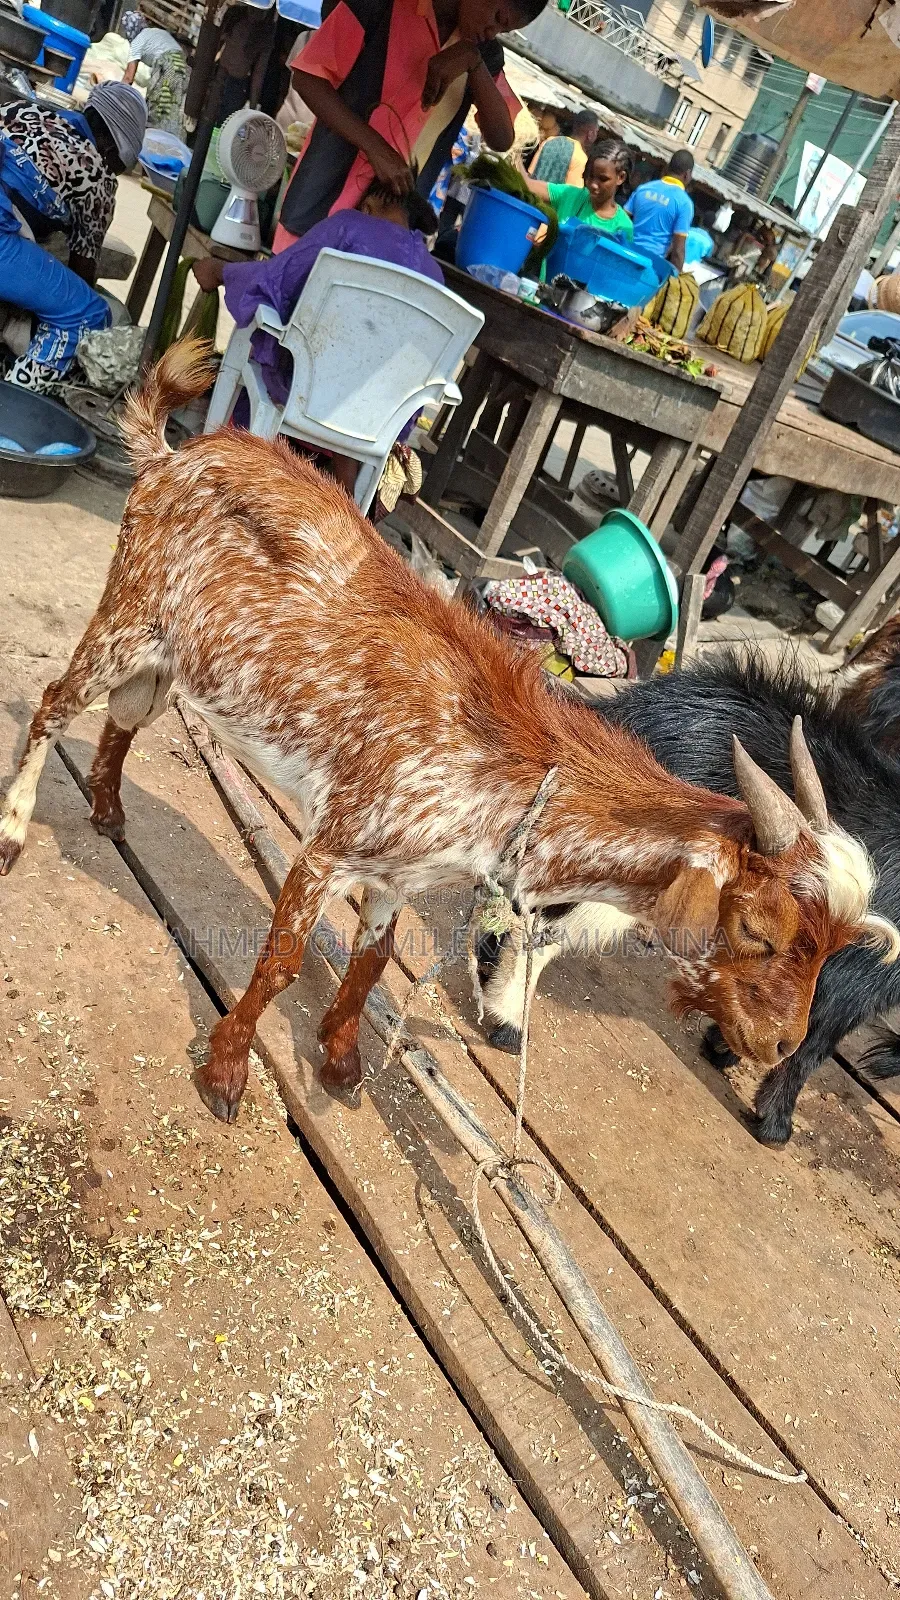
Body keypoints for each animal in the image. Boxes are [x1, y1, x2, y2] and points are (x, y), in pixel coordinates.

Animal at [478, 652, 900, 1146]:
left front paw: (723, 1048)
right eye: (758, 931)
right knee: (544, 926)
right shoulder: (856, 986)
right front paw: (774, 1122)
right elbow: (812, 1047)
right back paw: (508, 1020)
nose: (775, 1044)